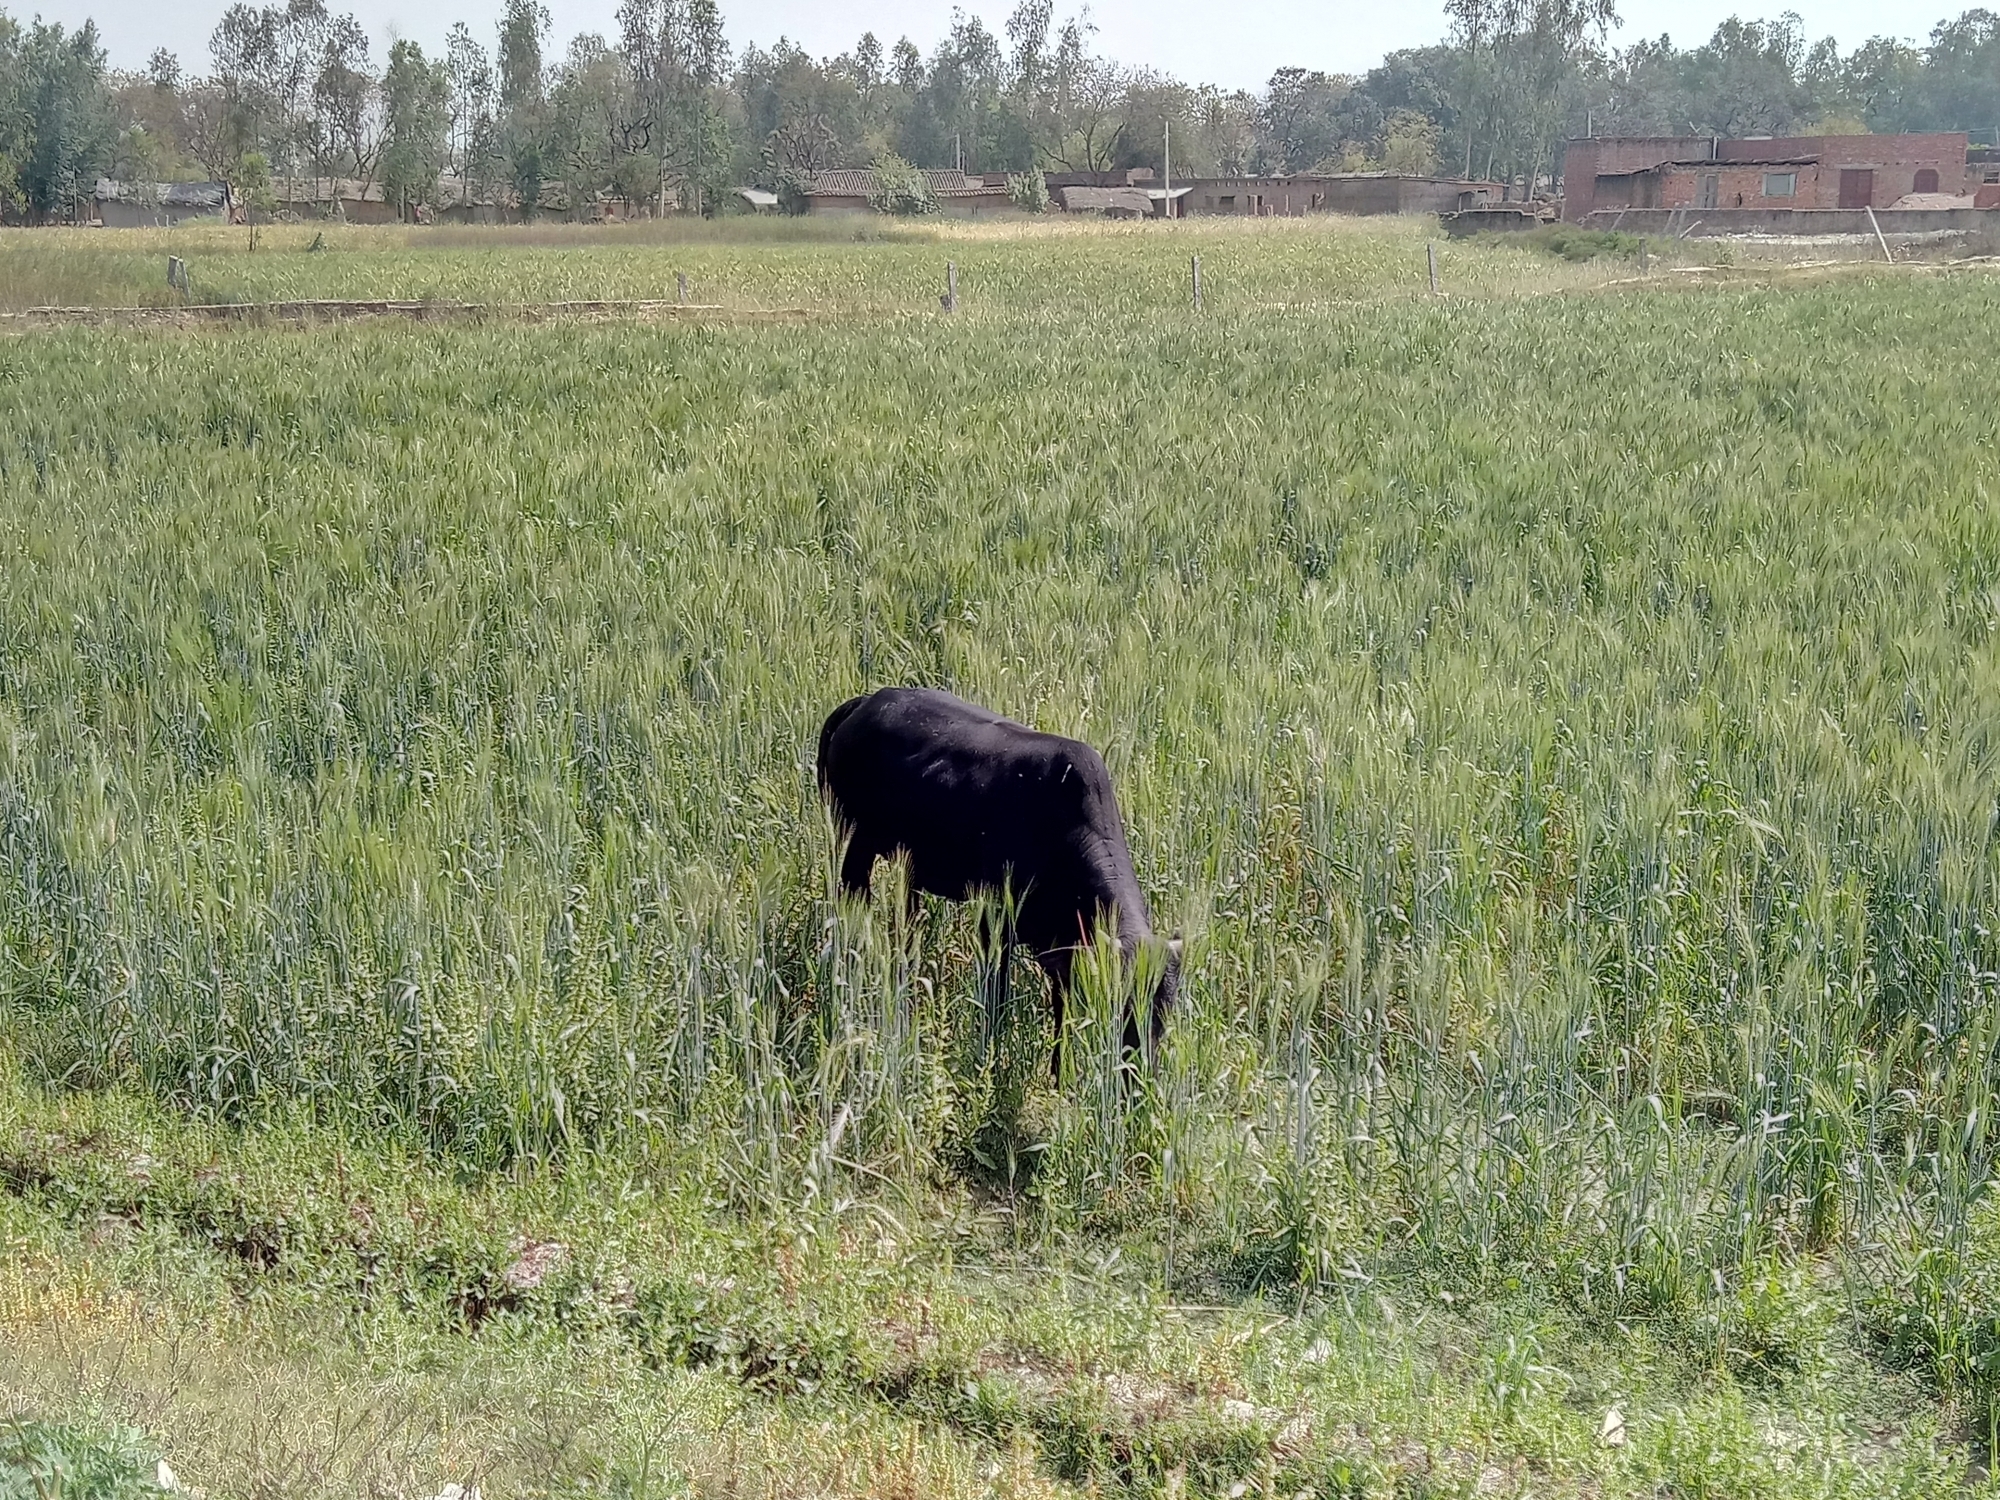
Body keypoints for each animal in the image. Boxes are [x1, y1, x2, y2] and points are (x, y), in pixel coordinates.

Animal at [816, 686, 1179, 1072]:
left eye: (1165, 1012)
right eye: (1124, 1002)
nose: (1141, 1068)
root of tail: (865, 702)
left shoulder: (1061, 951)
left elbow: (1061, 1014)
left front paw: (1058, 1074)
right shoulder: (996, 920)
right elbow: (997, 996)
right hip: (852, 846)